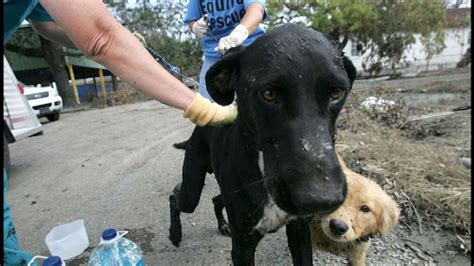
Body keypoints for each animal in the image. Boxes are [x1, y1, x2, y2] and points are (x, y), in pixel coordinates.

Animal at [169, 23, 356, 264]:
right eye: (268, 94)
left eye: (337, 92)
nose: (322, 199)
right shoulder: (242, 248)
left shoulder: (299, 232)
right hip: (192, 189)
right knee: (176, 196)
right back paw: (175, 233)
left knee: (215, 199)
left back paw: (222, 225)